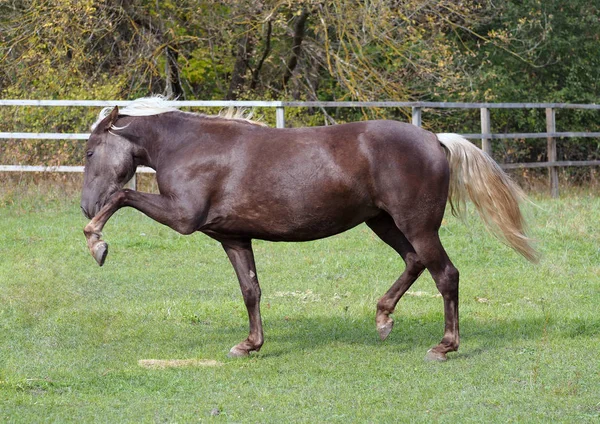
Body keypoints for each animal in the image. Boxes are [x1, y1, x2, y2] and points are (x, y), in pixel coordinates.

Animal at [82, 97, 536, 362]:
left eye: (88, 152)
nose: (85, 204)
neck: (191, 147)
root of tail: (434, 139)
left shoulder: (182, 218)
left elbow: (122, 196)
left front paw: (96, 242)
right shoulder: (233, 237)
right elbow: (251, 290)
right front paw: (249, 345)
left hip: (416, 224)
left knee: (446, 274)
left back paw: (444, 346)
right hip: (382, 222)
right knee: (414, 262)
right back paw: (383, 319)